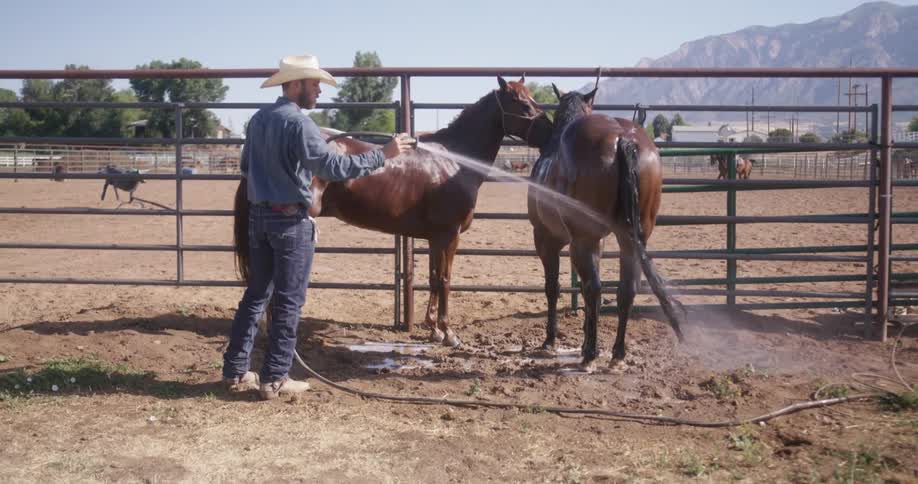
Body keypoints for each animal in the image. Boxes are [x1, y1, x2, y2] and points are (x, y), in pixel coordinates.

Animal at [234, 76, 553, 347]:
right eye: (523, 104)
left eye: (534, 100)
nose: (551, 134)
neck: (454, 161)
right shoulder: (449, 236)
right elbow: (445, 280)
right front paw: (449, 333)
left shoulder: (435, 238)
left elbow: (433, 278)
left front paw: (434, 330)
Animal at [527, 85, 684, 368]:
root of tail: (623, 139)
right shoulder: (597, 242)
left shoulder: (546, 239)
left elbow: (553, 288)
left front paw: (550, 341)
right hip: (631, 239)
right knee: (626, 290)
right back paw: (616, 353)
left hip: (583, 240)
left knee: (594, 289)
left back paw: (590, 354)